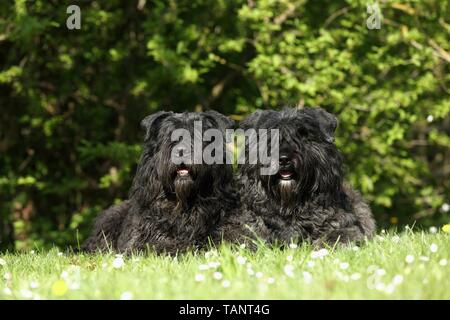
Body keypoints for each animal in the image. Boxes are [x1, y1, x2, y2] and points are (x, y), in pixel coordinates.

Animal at [82, 110, 237, 255]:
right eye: (169, 135)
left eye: (198, 135)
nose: (181, 151)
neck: (184, 202)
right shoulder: (146, 239)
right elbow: (166, 245)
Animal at [220, 109, 374, 246]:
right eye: (269, 139)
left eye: (303, 137)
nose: (283, 159)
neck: (289, 205)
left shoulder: (344, 226)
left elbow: (336, 237)